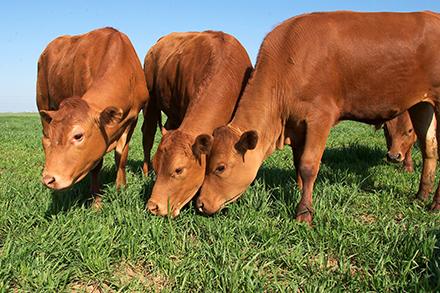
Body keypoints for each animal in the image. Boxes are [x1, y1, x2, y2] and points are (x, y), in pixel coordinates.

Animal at [36, 26, 150, 205]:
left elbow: (121, 156)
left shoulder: (132, 119)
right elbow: (96, 164)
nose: (49, 179)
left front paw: (121, 188)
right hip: (42, 102)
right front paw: (96, 202)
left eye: (78, 135)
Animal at [141, 30, 251, 216]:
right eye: (157, 165)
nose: (153, 207)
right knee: (147, 136)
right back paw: (144, 172)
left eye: (178, 170)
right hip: (151, 101)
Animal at [195, 11, 440, 224]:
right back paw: (421, 196)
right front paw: (299, 190)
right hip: (421, 104)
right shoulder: (296, 125)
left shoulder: (319, 118)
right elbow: (297, 162)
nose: (200, 204)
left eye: (220, 168)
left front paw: (304, 212)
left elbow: (308, 165)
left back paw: (435, 204)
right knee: (429, 149)